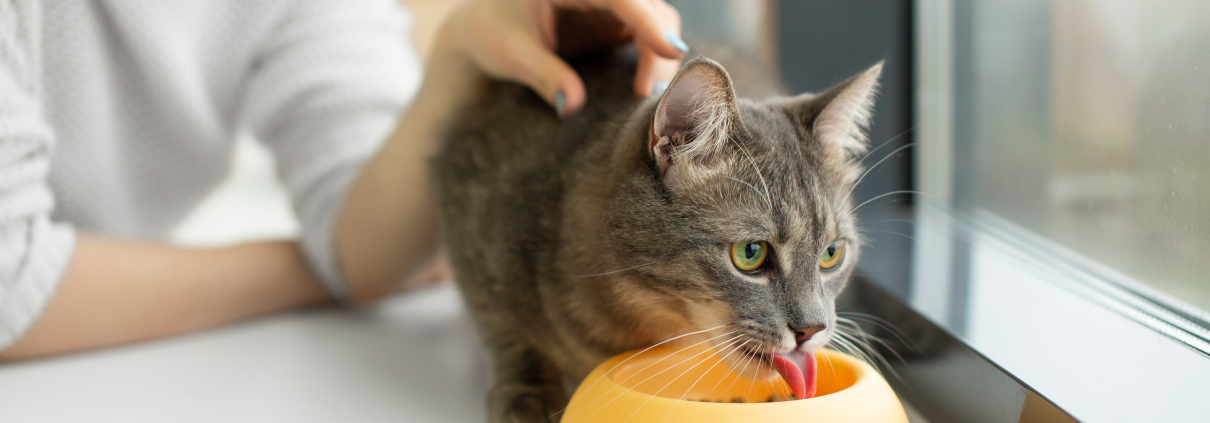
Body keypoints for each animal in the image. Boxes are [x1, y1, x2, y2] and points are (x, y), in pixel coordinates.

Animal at [435, 41, 880, 420]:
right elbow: (504, 331)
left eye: (832, 254)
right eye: (750, 253)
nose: (813, 329)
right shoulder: (465, 214)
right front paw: (528, 395)